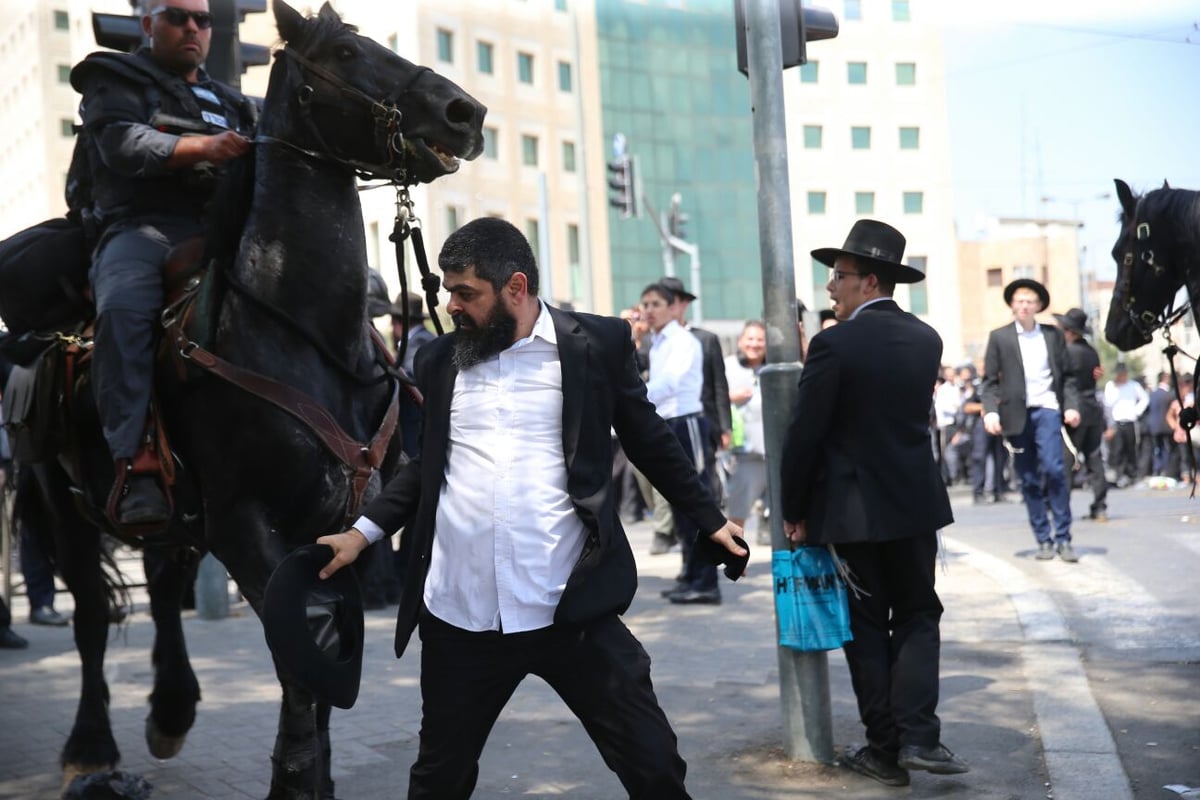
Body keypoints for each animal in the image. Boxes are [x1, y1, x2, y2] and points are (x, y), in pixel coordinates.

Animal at [24, 3, 482, 796]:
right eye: (345, 50)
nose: (464, 112)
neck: (309, 336)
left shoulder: (344, 523)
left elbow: (324, 652)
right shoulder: (243, 524)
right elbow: (296, 648)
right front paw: (294, 776)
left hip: (172, 515)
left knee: (163, 582)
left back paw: (172, 709)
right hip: (67, 504)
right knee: (89, 614)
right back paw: (93, 746)